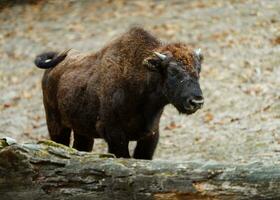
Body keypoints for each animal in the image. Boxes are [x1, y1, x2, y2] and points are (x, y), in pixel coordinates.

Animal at [35, 27, 205, 159]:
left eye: (198, 70)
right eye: (172, 71)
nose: (196, 101)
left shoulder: (150, 135)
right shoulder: (115, 135)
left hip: (82, 131)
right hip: (56, 124)